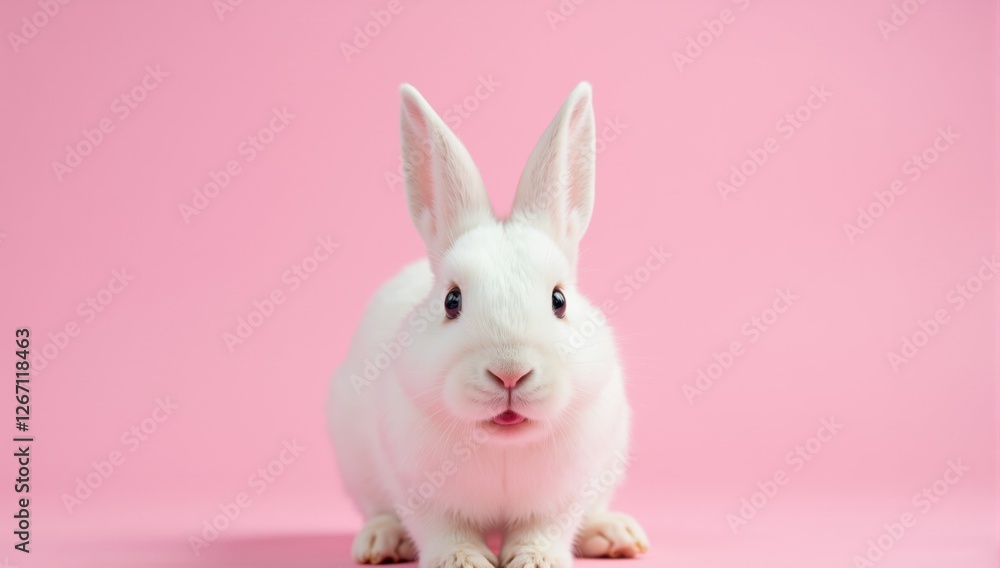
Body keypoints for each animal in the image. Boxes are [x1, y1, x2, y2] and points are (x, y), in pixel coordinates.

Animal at [328, 82, 648, 568]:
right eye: (451, 301)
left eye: (559, 300)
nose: (510, 373)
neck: (502, 446)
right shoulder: (418, 490)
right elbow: (443, 530)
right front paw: (463, 561)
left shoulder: (564, 494)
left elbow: (544, 528)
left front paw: (536, 560)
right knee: (378, 511)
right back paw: (381, 542)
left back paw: (615, 535)